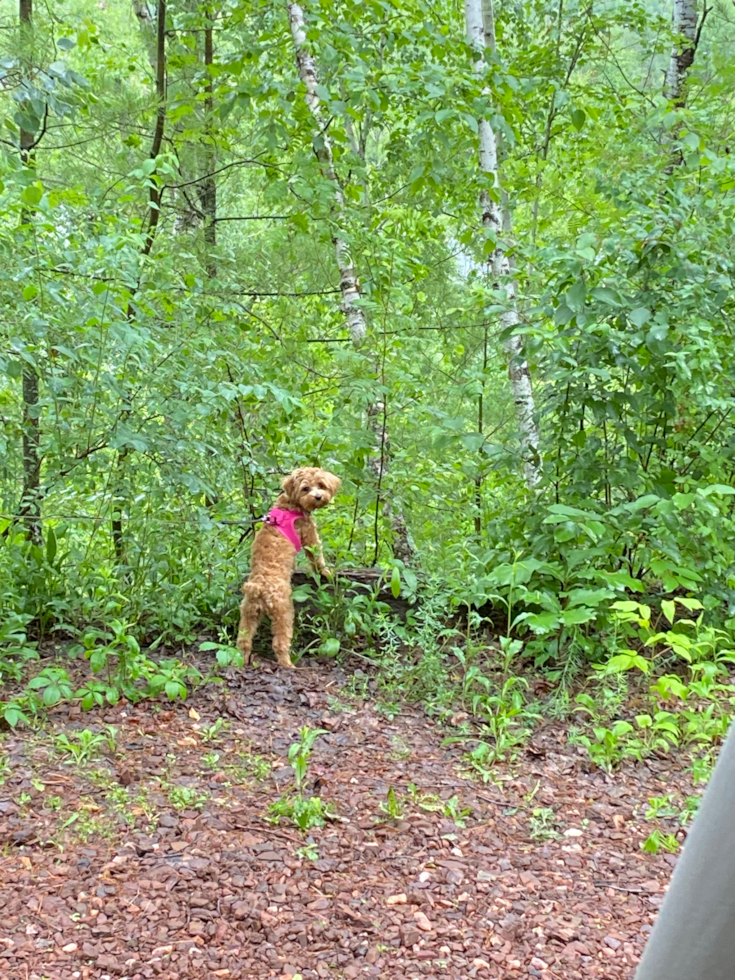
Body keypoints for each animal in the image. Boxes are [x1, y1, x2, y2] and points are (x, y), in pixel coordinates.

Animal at [236, 468, 342, 668]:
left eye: (321, 485)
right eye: (305, 488)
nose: (318, 496)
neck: (291, 505)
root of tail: (259, 587)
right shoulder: (309, 534)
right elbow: (317, 556)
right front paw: (325, 572)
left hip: (249, 613)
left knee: (244, 640)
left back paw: (242, 660)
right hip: (283, 612)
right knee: (279, 642)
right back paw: (288, 664)